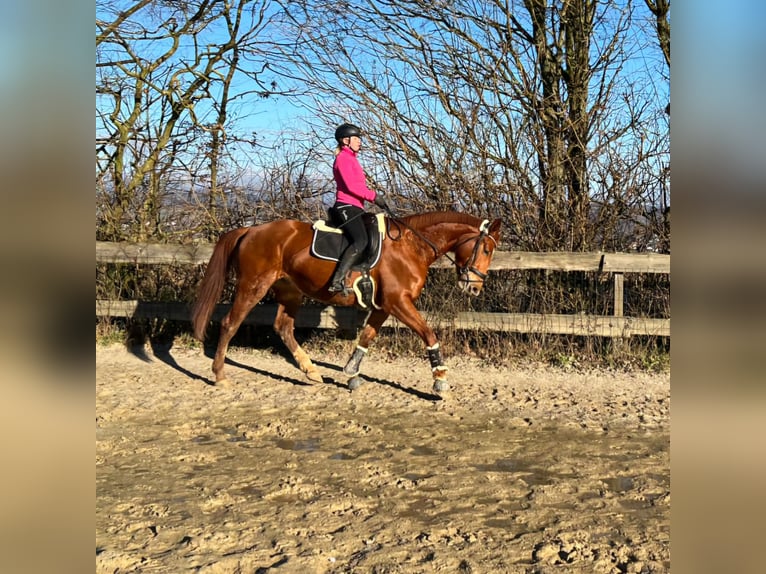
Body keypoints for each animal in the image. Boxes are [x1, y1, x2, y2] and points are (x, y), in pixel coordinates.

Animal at [191, 212, 504, 396]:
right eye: (487, 249)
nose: (474, 287)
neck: (410, 246)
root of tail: (250, 230)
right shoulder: (398, 302)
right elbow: (428, 334)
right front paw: (440, 380)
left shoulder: (384, 306)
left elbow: (366, 337)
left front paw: (351, 373)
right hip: (253, 286)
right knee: (230, 323)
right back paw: (220, 376)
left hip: (289, 290)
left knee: (283, 327)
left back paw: (311, 371)